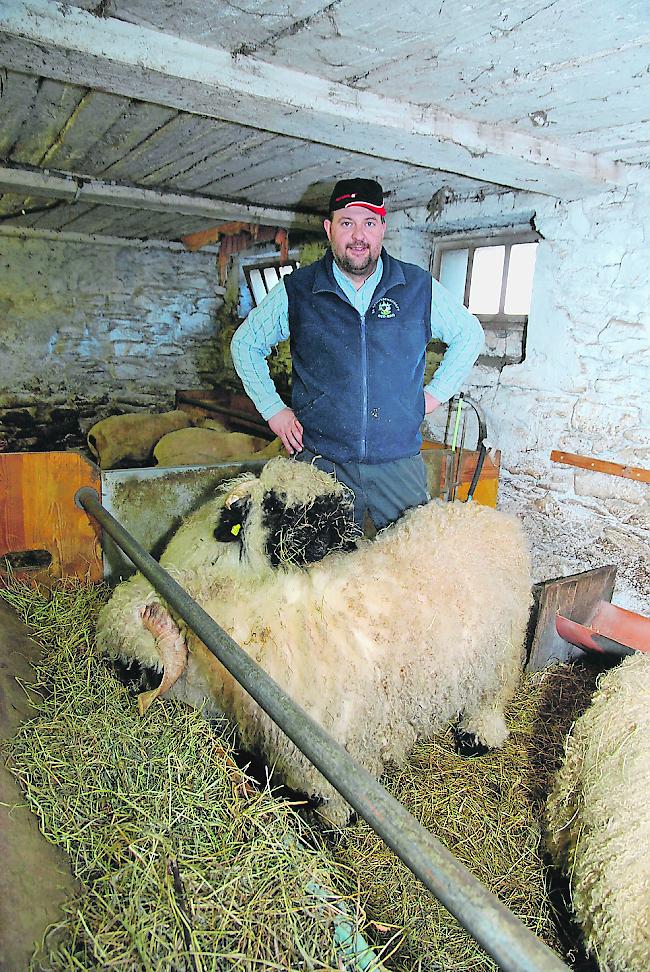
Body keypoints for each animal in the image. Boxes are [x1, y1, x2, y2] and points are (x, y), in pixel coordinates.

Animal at [97, 456, 532, 820]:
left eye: (132, 661)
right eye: (274, 507)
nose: (118, 684)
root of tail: (483, 514)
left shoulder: (337, 758)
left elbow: (334, 807)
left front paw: (331, 830)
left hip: (500, 657)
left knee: (491, 699)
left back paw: (478, 737)